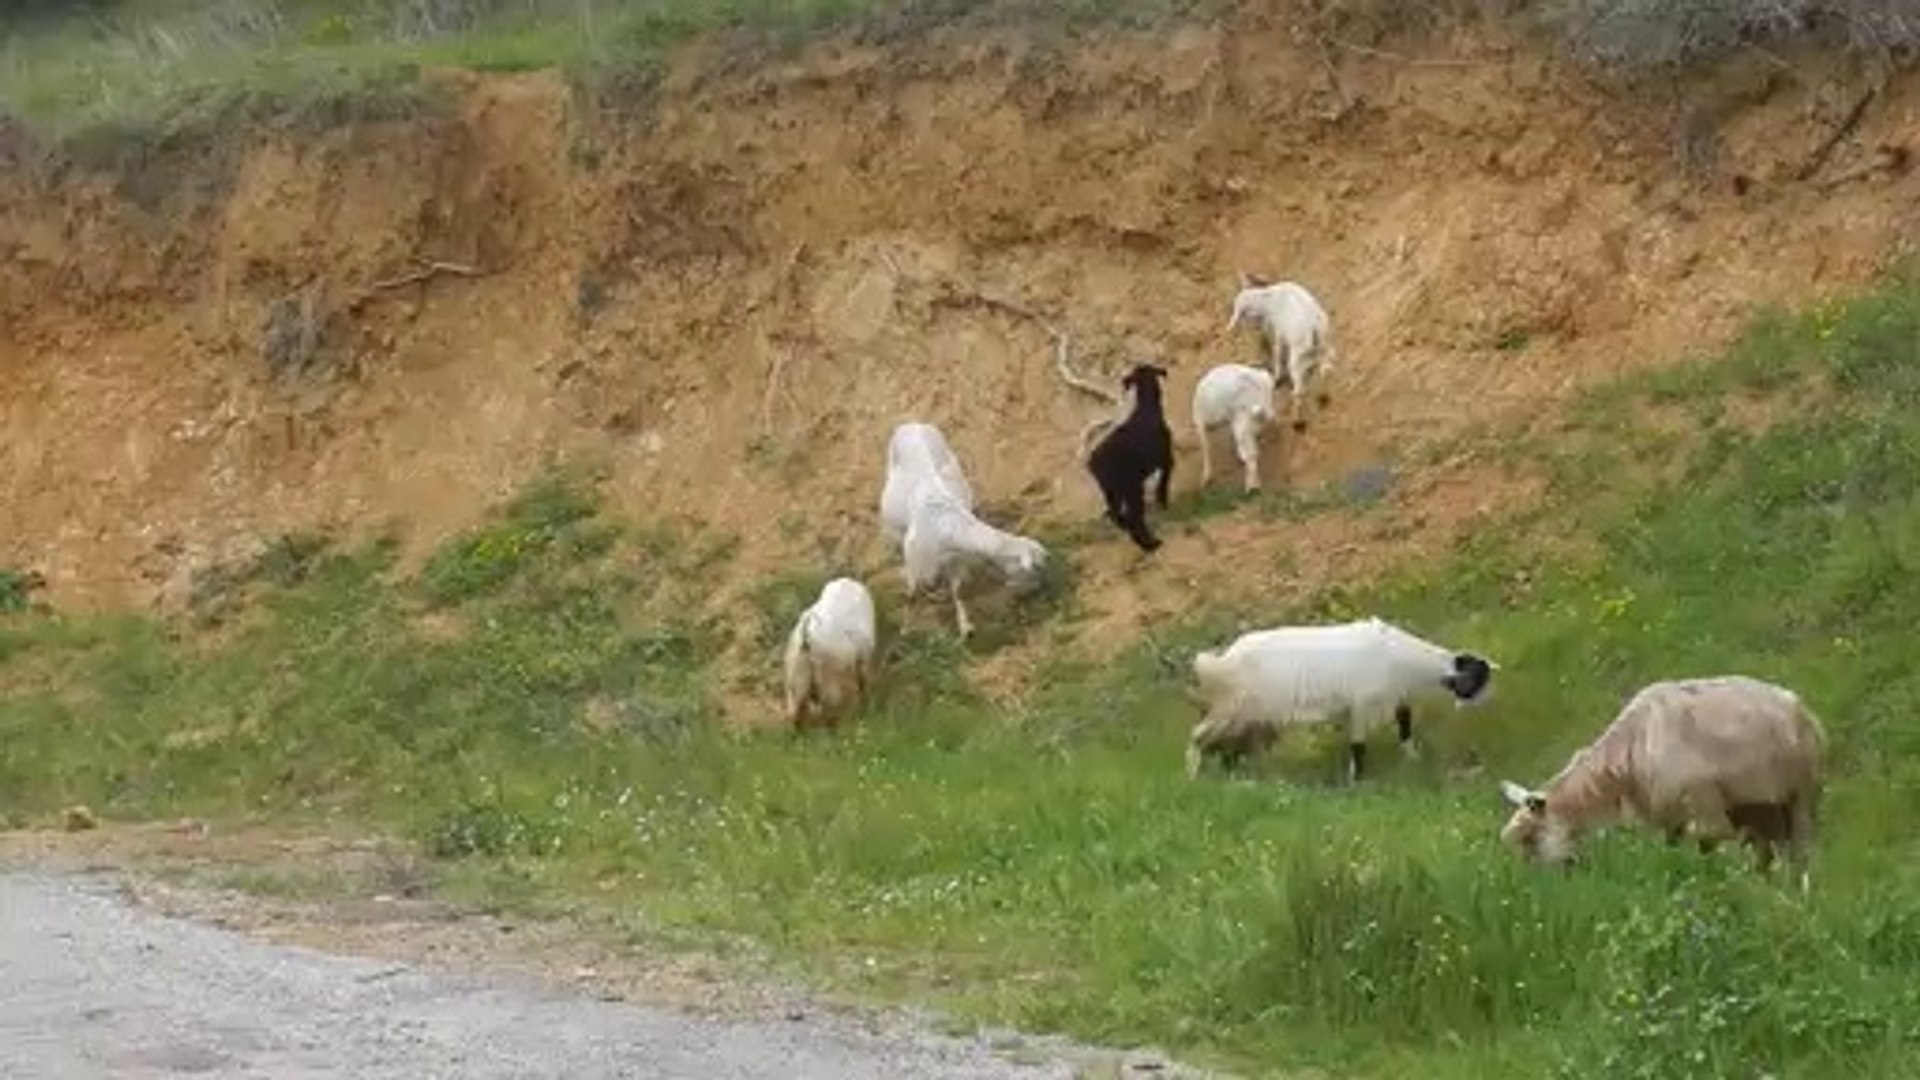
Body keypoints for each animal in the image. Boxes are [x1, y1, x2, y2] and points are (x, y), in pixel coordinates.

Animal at [880, 421, 1049, 639]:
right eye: (1034, 567)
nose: (1038, 590)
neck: (948, 524)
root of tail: (912, 424)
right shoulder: (915, 561)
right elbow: (912, 594)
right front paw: (905, 629)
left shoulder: (958, 560)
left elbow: (958, 591)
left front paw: (965, 627)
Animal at [1085, 362, 1174, 553]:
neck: (1146, 408)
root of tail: (1093, 463)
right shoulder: (1167, 459)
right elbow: (1163, 483)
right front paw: (1163, 502)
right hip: (1131, 487)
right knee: (1135, 518)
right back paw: (1150, 544)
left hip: (1112, 491)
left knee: (1115, 515)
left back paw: (1130, 530)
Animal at [1187, 616, 1496, 782]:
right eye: (1478, 680)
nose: (1488, 701)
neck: (1400, 659)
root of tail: (1224, 659)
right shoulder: (1360, 706)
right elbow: (1358, 749)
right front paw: (1356, 782)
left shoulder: (1393, 699)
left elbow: (1405, 726)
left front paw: (1413, 759)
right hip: (1232, 710)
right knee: (1199, 736)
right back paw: (1194, 776)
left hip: (1250, 719)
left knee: (1228, 749)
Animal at [1498, 675, 1825, 891]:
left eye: (1531, 839)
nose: (1540, 891)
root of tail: (1798, 705)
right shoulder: (1669, 822)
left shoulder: (1707, 816)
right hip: (1762, 807)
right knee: (1771, 852)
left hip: (1801, 793)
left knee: (1800, 850)